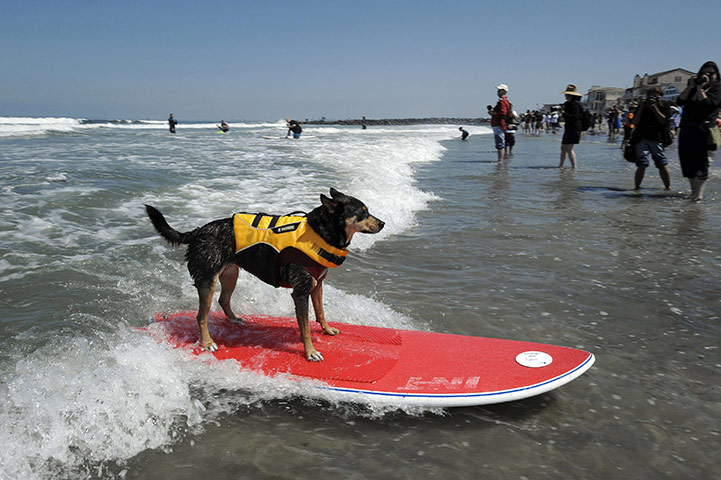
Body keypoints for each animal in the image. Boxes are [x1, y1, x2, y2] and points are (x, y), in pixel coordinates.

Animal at [143, 188, 386, 360]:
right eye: (362, 213)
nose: (383, 223)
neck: (320, 232)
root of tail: (197, 232)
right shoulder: (301, 291)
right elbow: (306, 327)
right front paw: (310, 352)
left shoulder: (317, 285)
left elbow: (321, 313)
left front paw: (326, 329)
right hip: (207, 280)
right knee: (201, 316)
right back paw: (206, 343)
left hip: (230, 274)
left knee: (223, 299)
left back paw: (235, 319)